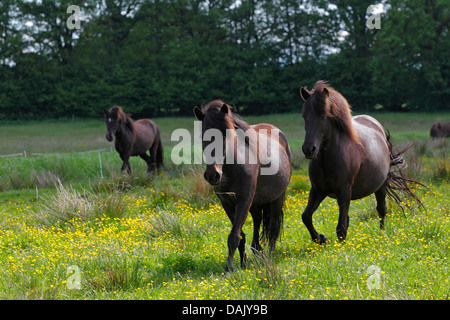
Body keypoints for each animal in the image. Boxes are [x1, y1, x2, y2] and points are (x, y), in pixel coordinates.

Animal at [193, 100, 292, 272]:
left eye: (225, 135)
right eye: (203, 136)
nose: (213, 175)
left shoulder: (244, 201)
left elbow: (234, 235)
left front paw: (228, 269)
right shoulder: (227, 204)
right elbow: (240, 235)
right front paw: (243, 262)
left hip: (277, 197)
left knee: (273, 227)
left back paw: (270, 256)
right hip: (257, 202)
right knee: (258, 220)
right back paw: (257, 250)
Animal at [298, 81, 422, 244]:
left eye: (324, 116)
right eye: (304, 116)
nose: (308, 149)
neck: (328, 158)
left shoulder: (344, 191)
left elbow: (341, 227)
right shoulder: (318, 190)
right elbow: (306, 217)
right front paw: (320, 238)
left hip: (380, 185)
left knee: (381, 209)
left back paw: (382, 234)